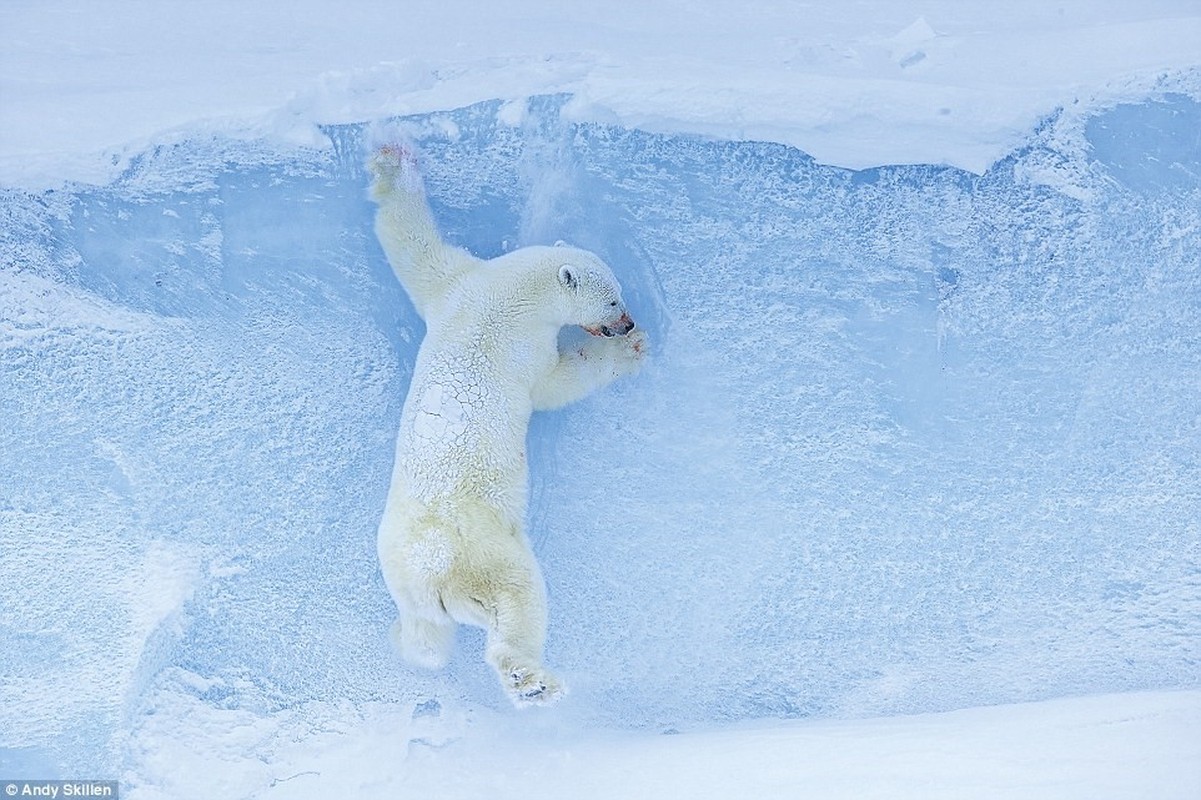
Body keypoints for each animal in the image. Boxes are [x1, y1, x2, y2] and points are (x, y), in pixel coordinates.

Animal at [367, 141, 643, 706]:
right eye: (613, 299)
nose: (627, 322)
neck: (509, 293)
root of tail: (432, 575)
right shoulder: (523, 345)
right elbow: (557, 385)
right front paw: (625, 352)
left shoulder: (455, 284)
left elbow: (412, 247)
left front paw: (392, 160)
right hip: (488, 550)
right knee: (519, 602)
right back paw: (531, 680)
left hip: (402, 574)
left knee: (427, 638)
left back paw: (406, 642)